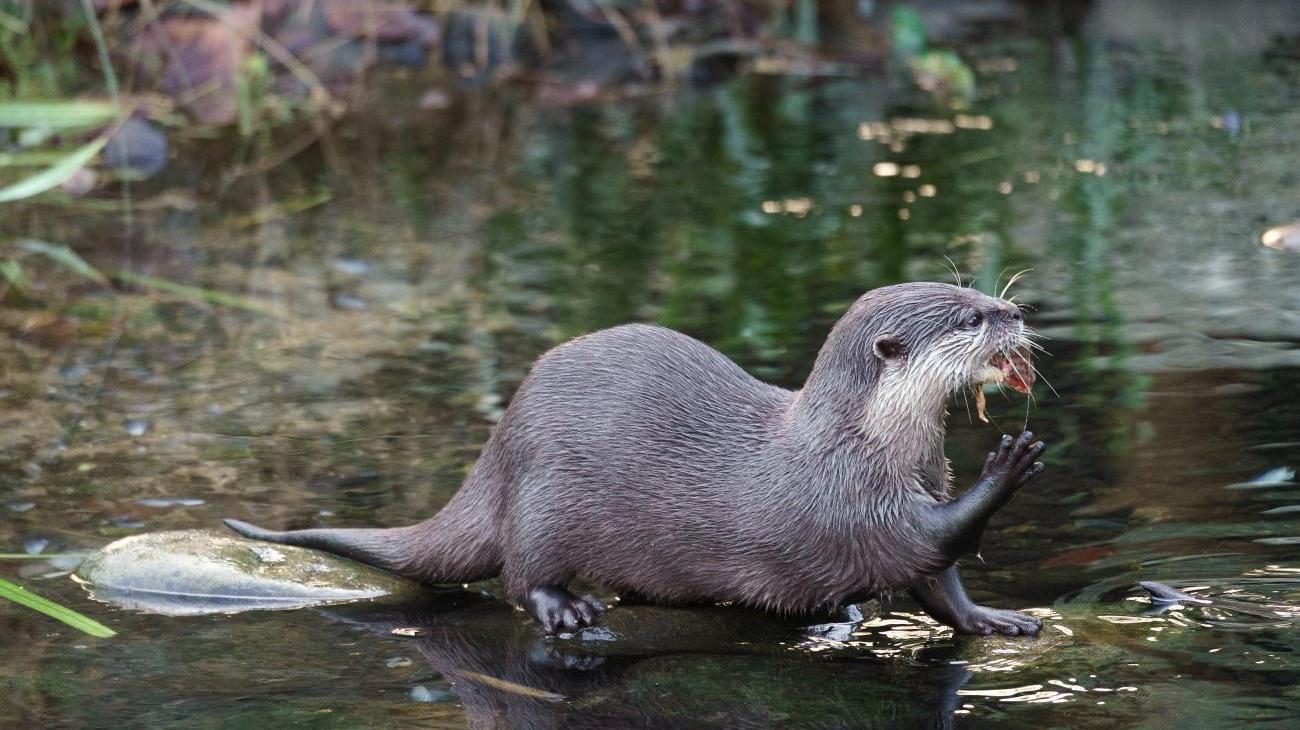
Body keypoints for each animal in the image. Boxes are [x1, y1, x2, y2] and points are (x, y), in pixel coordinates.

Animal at [226, 282, 1047, 636]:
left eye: (979, 290)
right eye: (968, 318)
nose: (1013, 311)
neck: (871, 441)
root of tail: (500, 446)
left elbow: (942, 584)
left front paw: (994, 619)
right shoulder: (846, 499)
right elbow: (924, 542)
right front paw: (1007, 466)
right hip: (545, 503)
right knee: (521, 576)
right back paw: (567, 608)